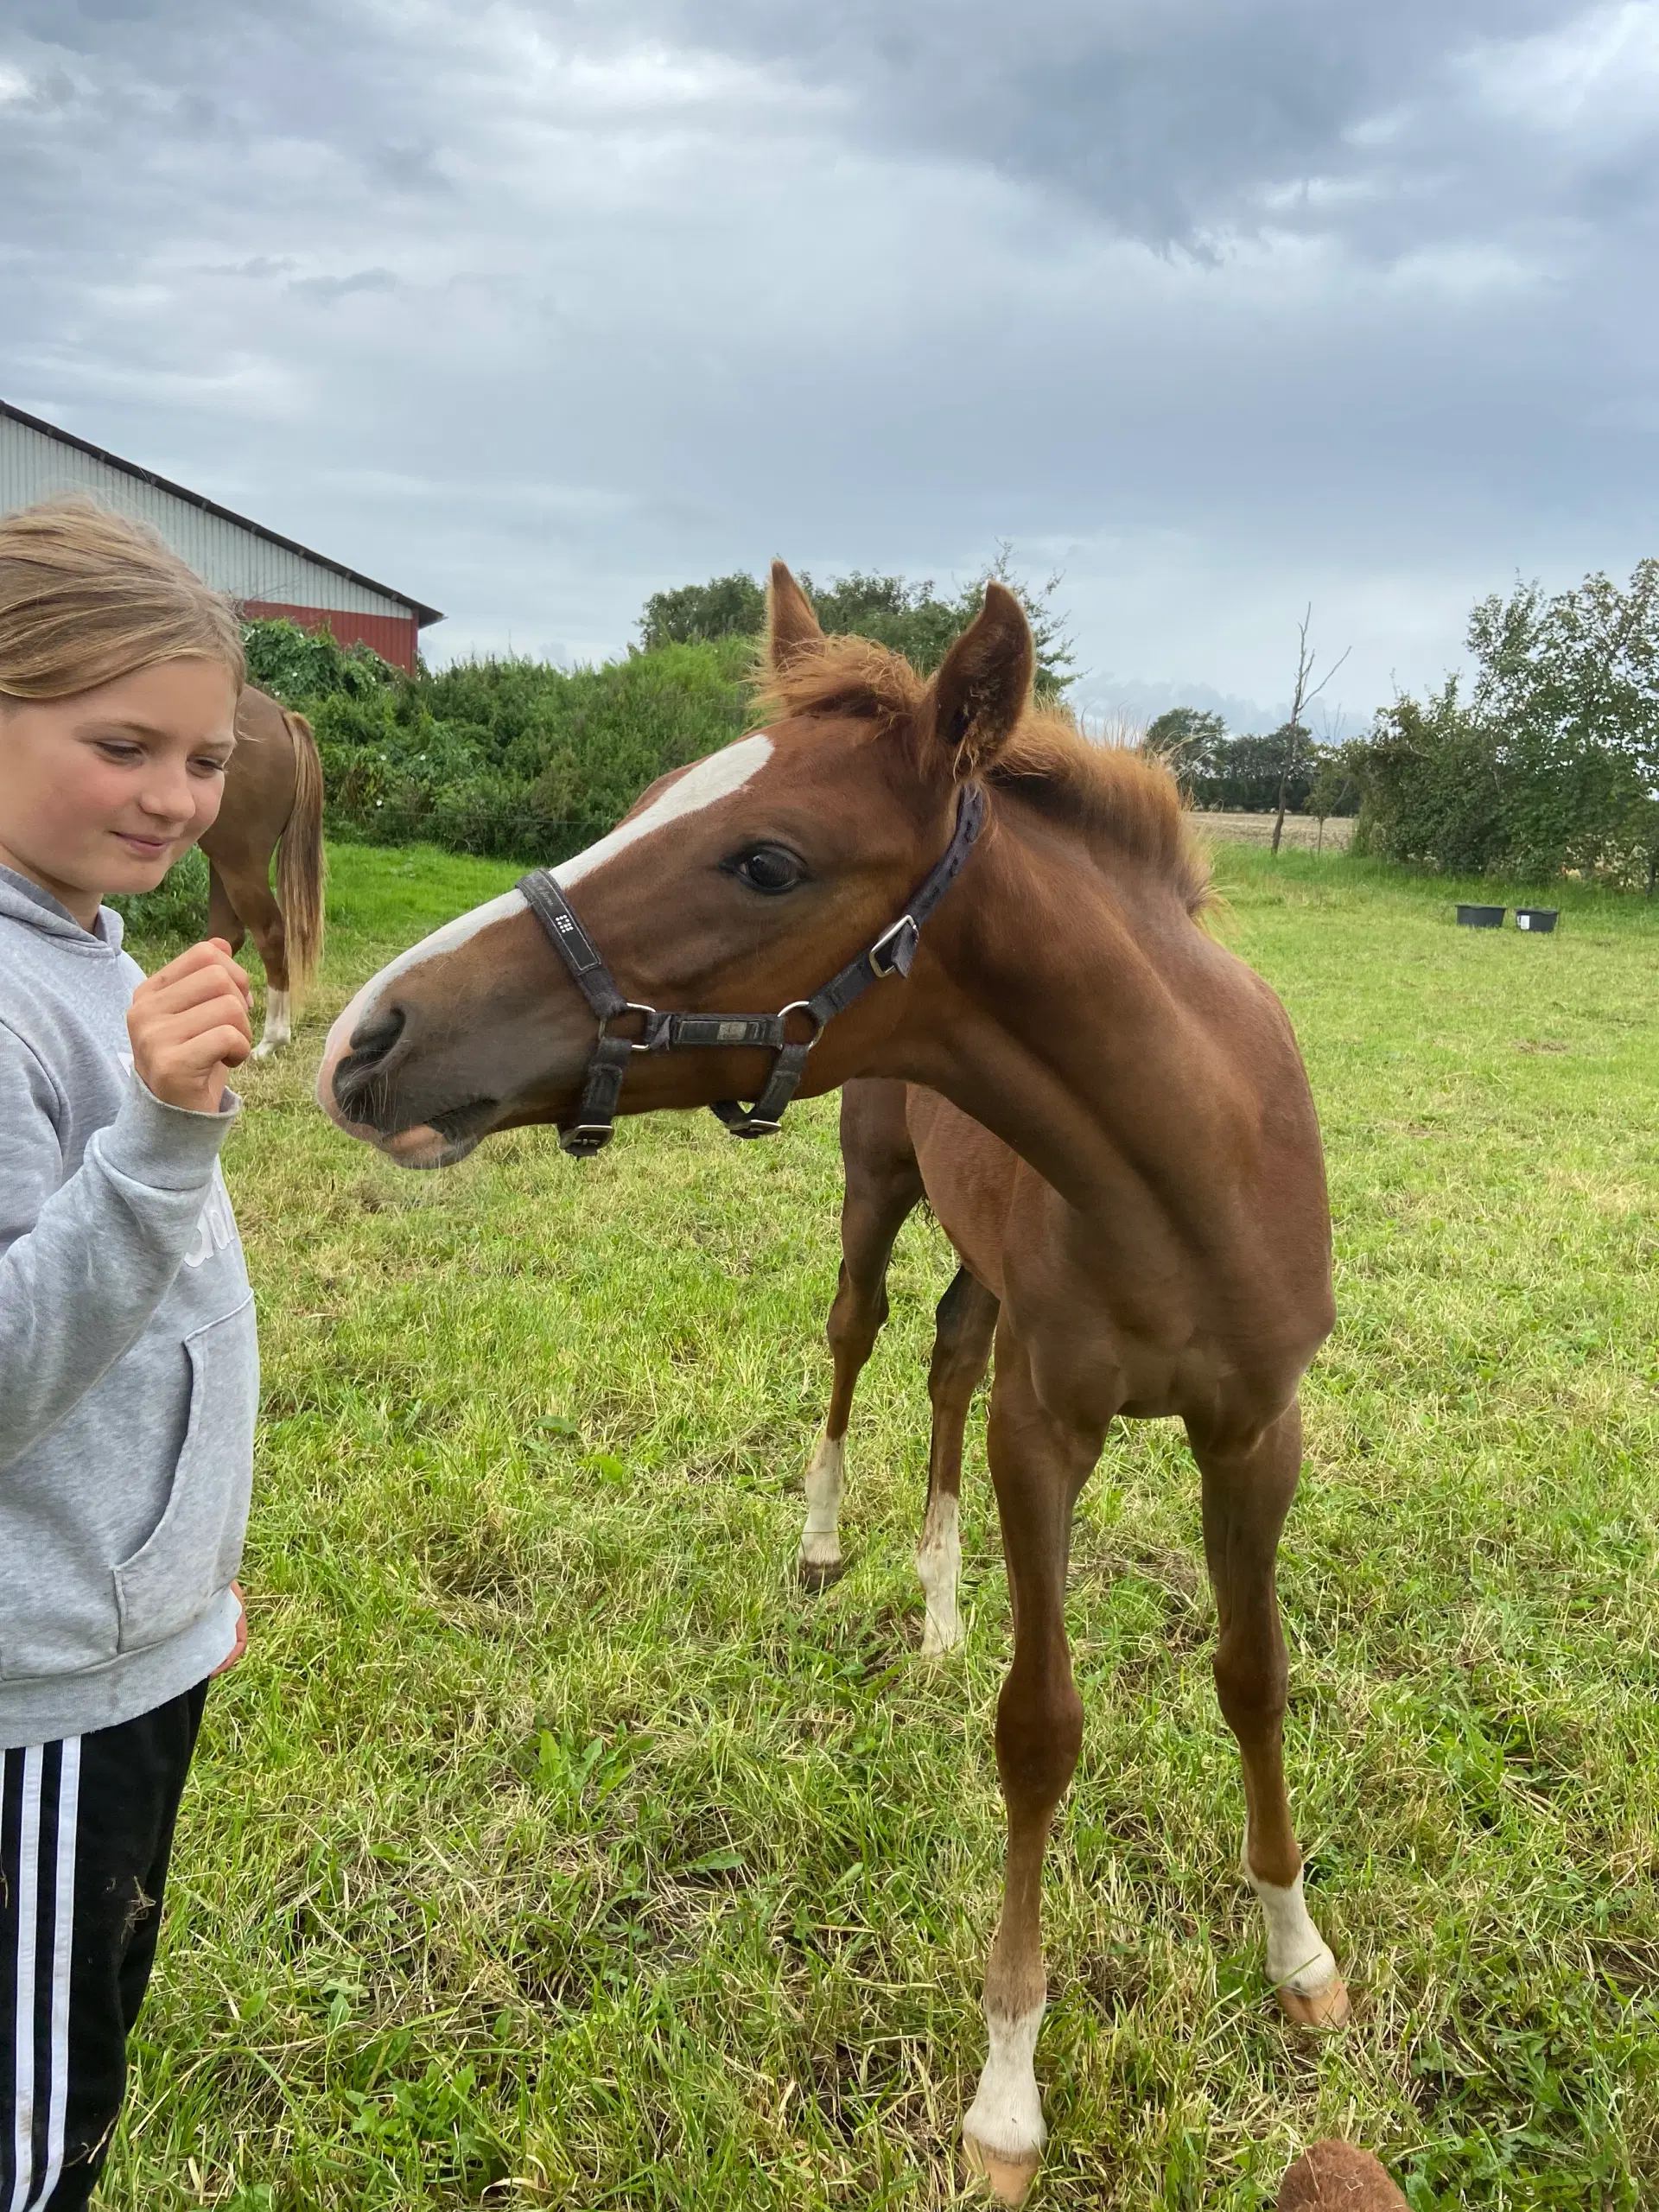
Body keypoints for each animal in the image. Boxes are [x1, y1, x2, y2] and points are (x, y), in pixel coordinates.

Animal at [203, 681, 327, 1052]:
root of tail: (283, 716)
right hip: (223, 858)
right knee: (226, 936)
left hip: (237, 861)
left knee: (270, 934)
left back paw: (272, 1039)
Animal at [314, 570, 1353, 2194]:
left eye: (766, 860)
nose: (368, 1040)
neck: (1191, 1159)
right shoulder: (1049, 1432)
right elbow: (1041, 1729)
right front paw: (1008, 2092)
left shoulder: (1257, 1433)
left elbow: (1254, 1676)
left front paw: (1298, 1955)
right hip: (875, 1193)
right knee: (861, 1341)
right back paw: (829, 1549)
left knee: (946, 1358)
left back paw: (936, 1604)